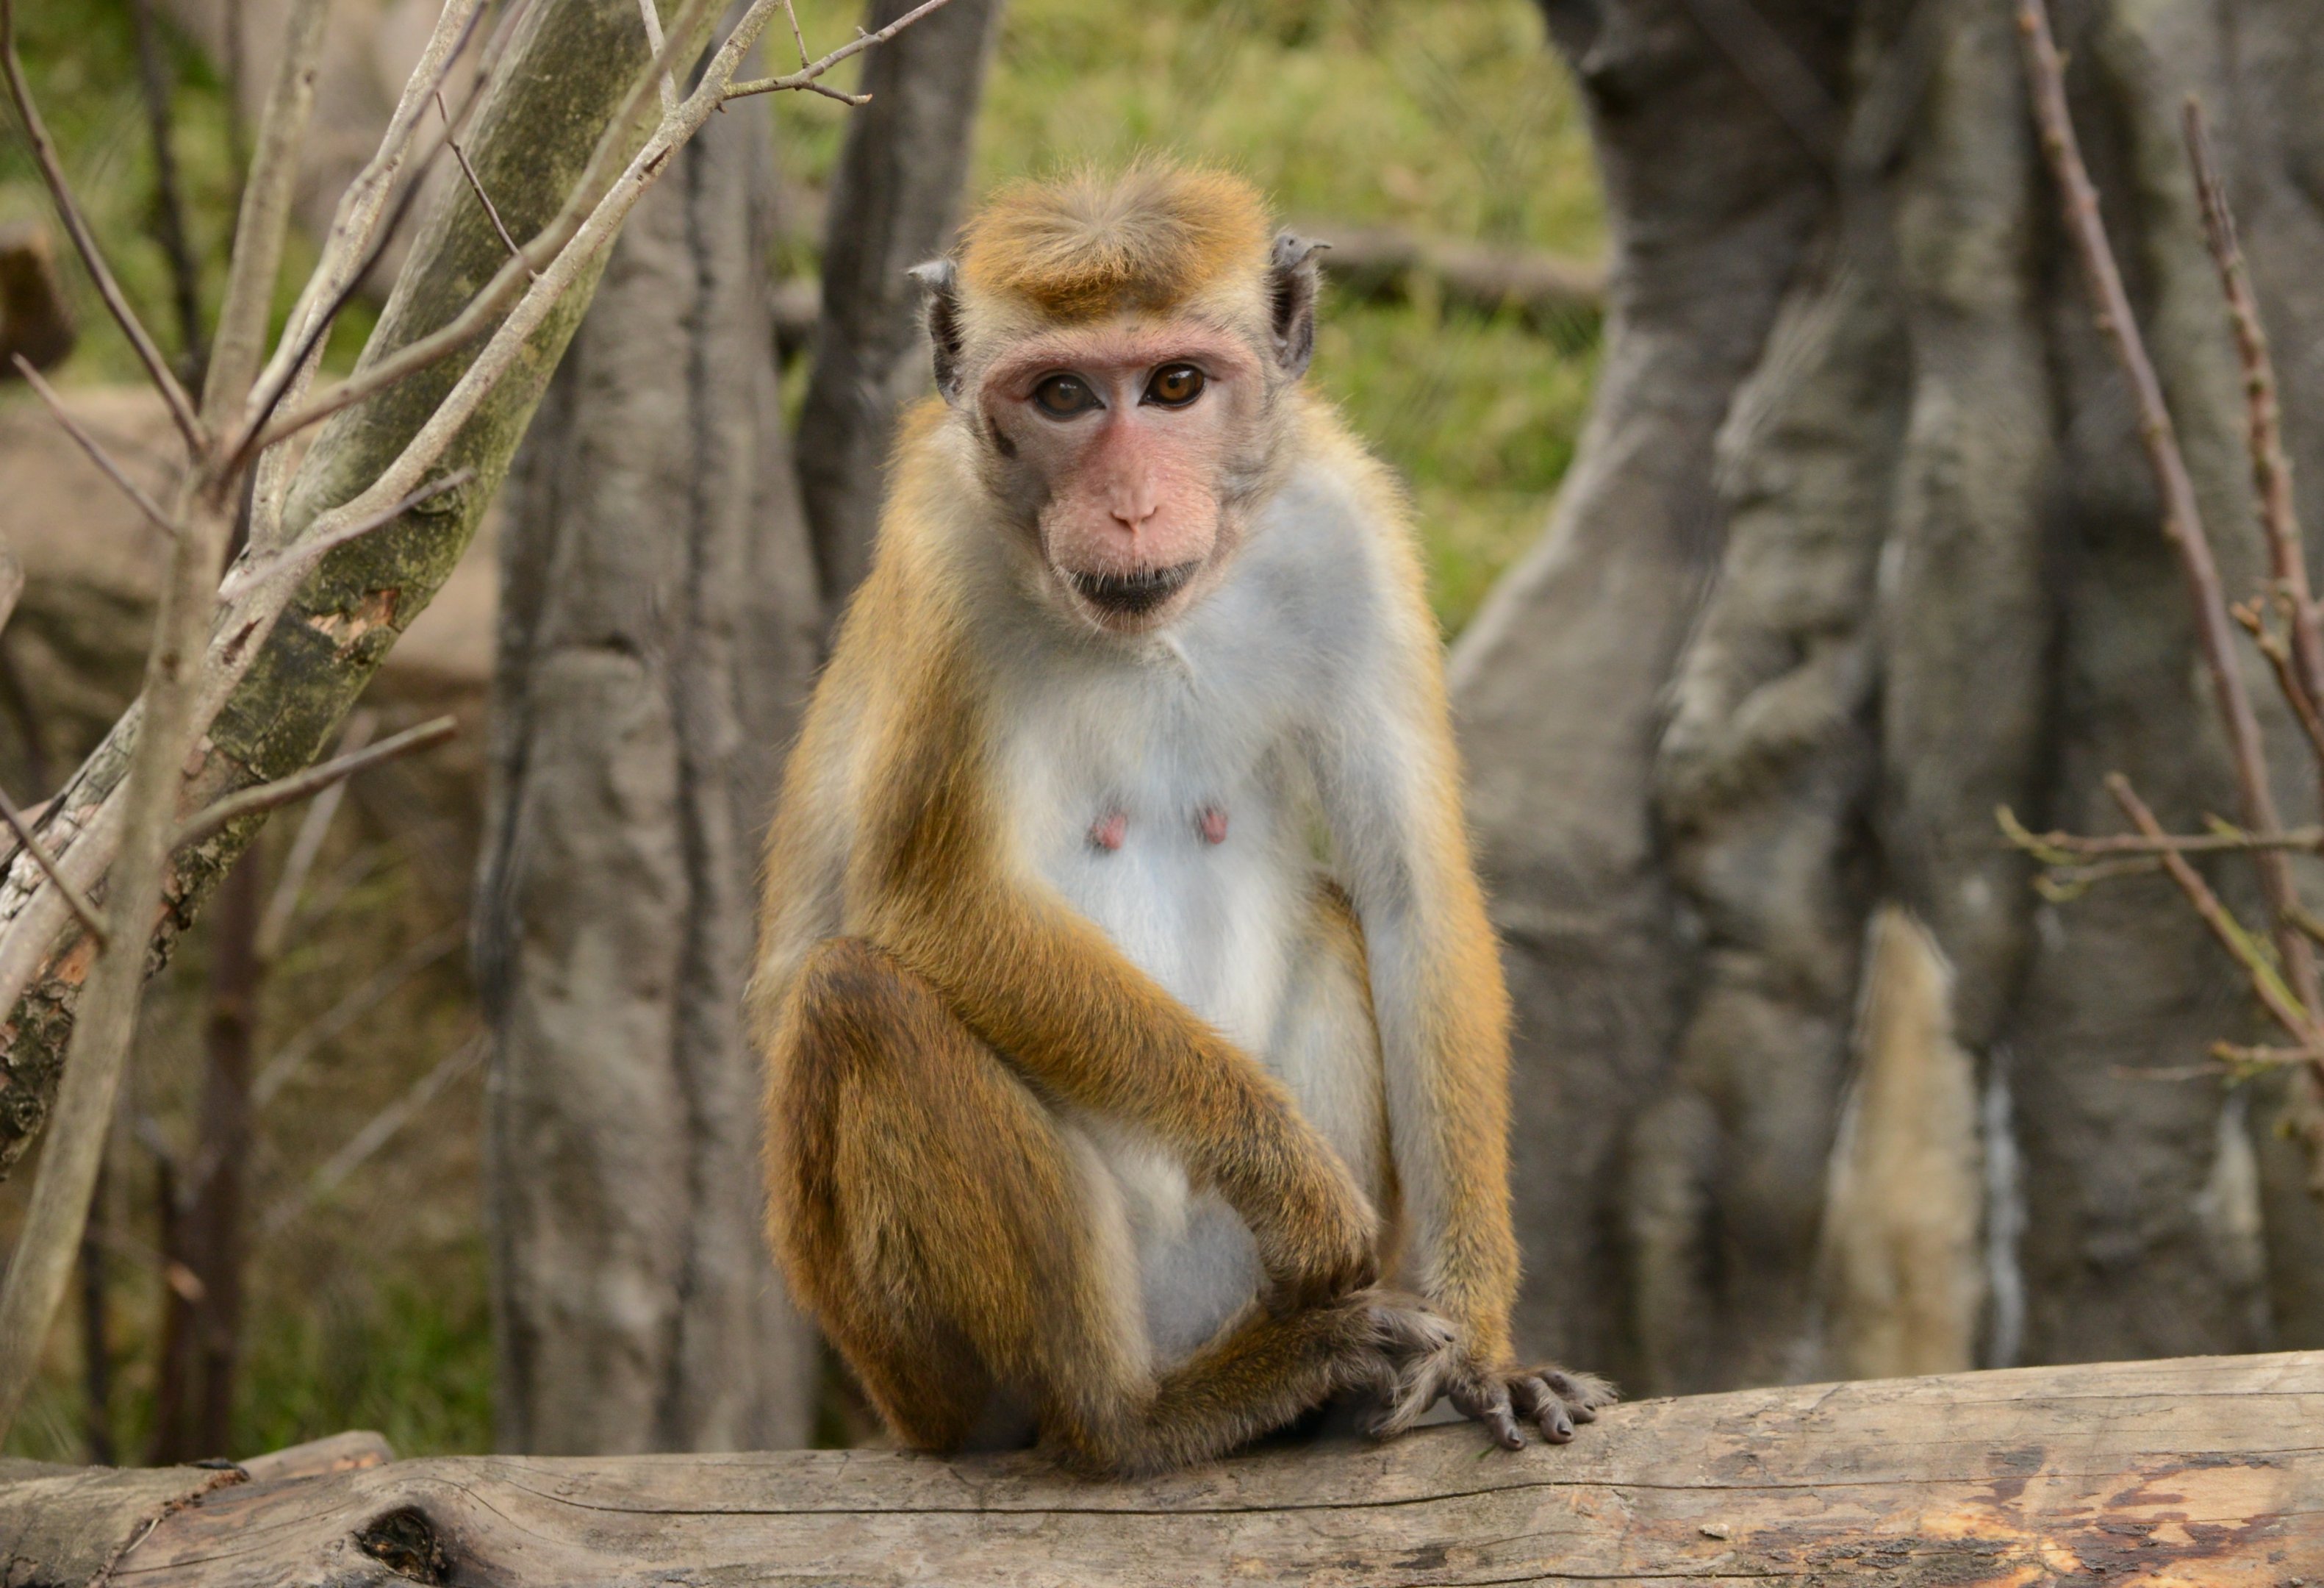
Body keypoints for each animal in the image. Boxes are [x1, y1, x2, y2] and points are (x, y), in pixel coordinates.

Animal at [751, 161, 1613, 1476]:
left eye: (1173, 386)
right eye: (1061, 395)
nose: (1127, 506)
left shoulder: (1349, 525)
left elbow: (1410, 891)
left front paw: (1483, 1349)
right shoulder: (938, 547)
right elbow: (933, 901)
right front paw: (1288, 1175)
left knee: (1332, 922)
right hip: (913, 1368)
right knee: (860, 999)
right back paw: (1142, 1417)